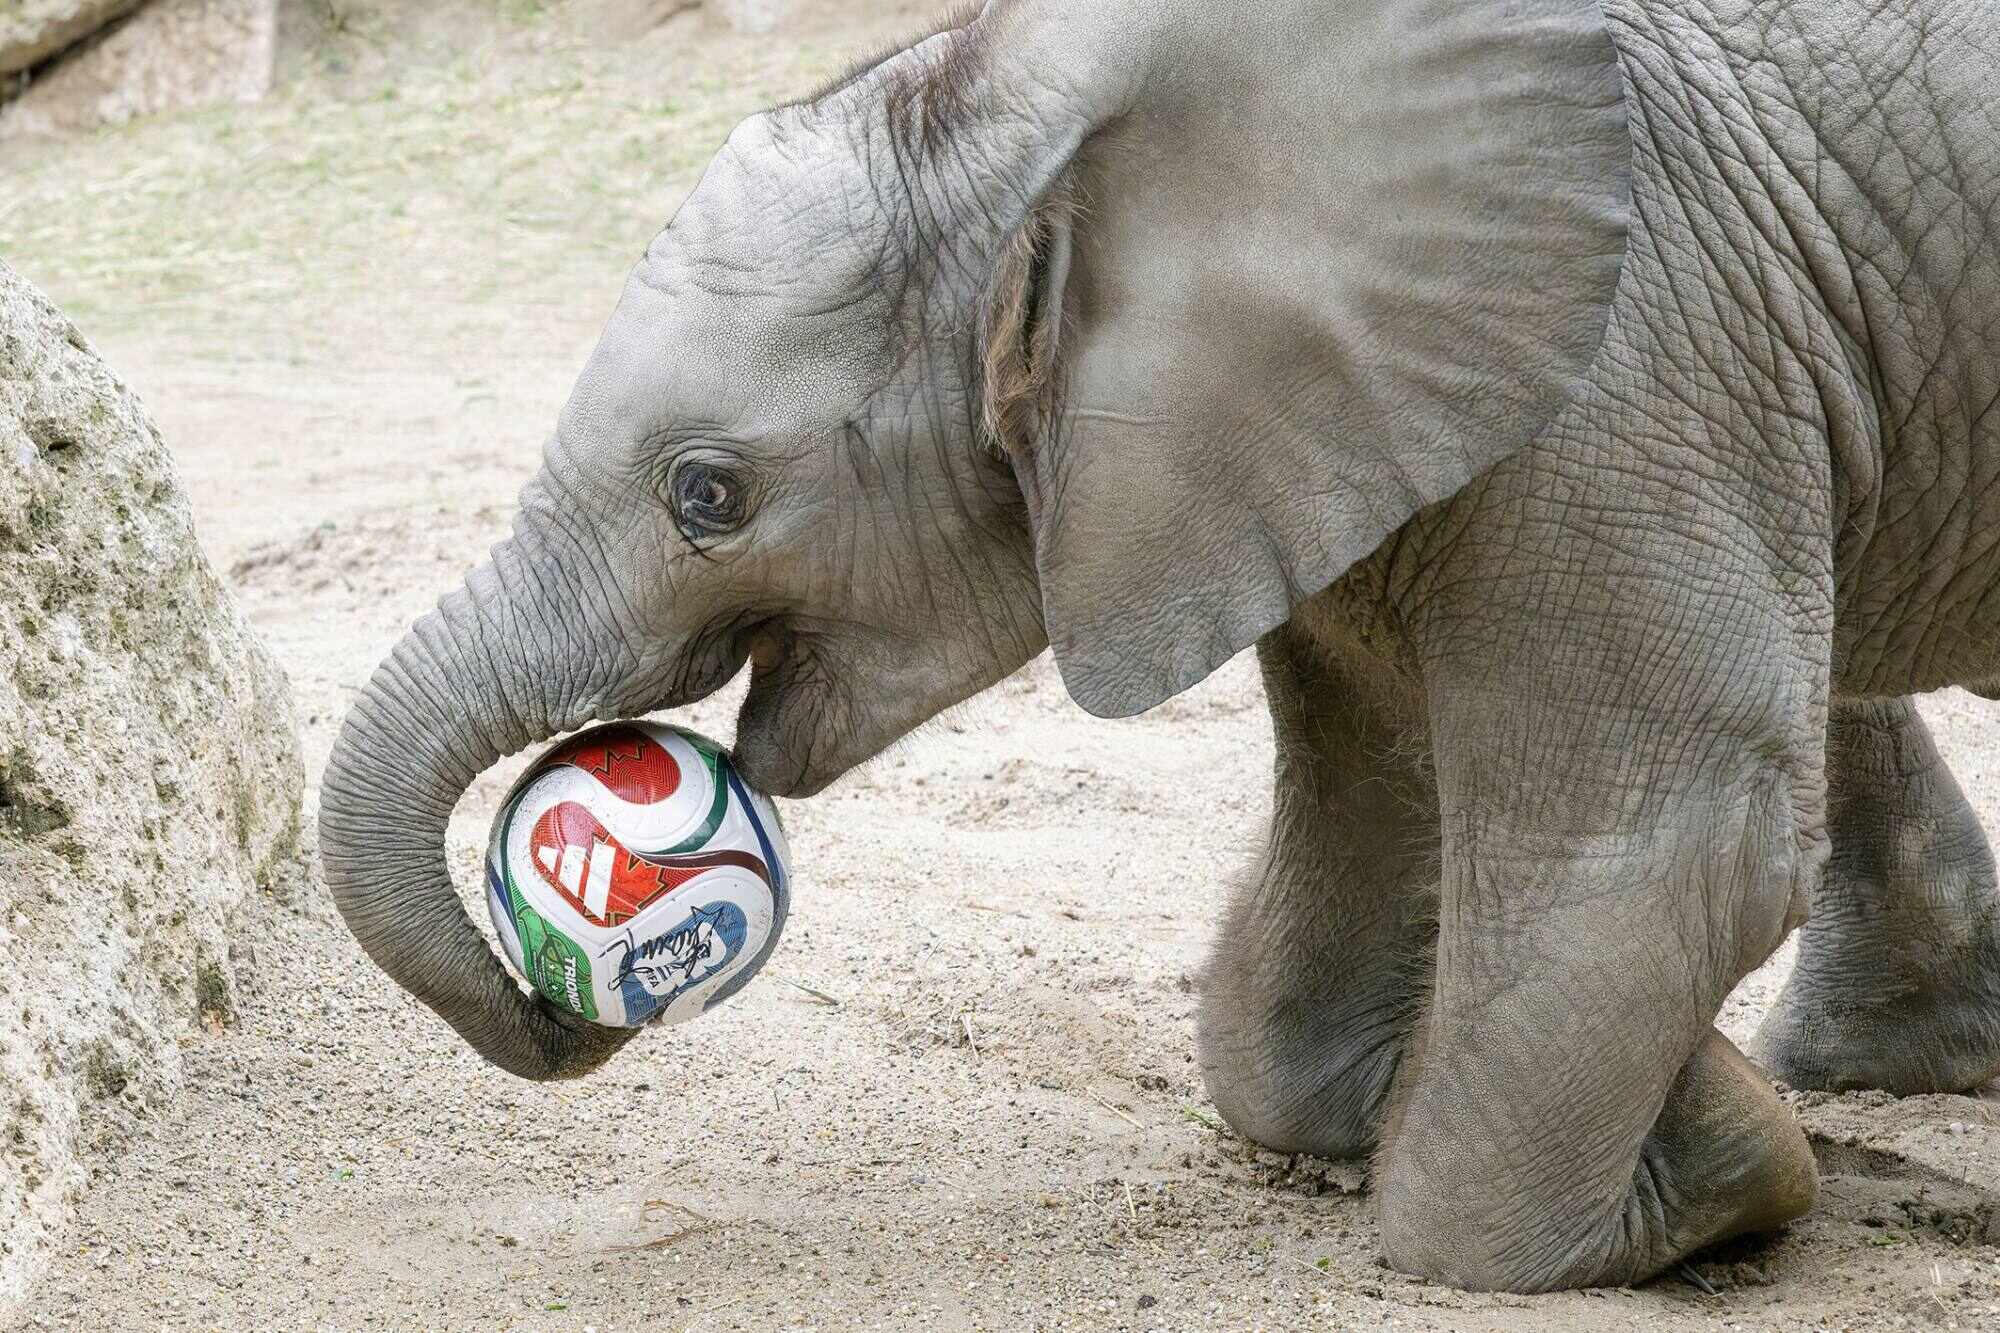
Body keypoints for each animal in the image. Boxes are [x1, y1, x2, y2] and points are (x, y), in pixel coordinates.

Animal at [318, 0, 2000, 1295]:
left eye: (706, 496)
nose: (563, 1005)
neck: (1036, 97)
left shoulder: (1628, 365)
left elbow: (1667, 852)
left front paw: (1727, 1178)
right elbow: (1331, 916)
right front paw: (1687, 1114)